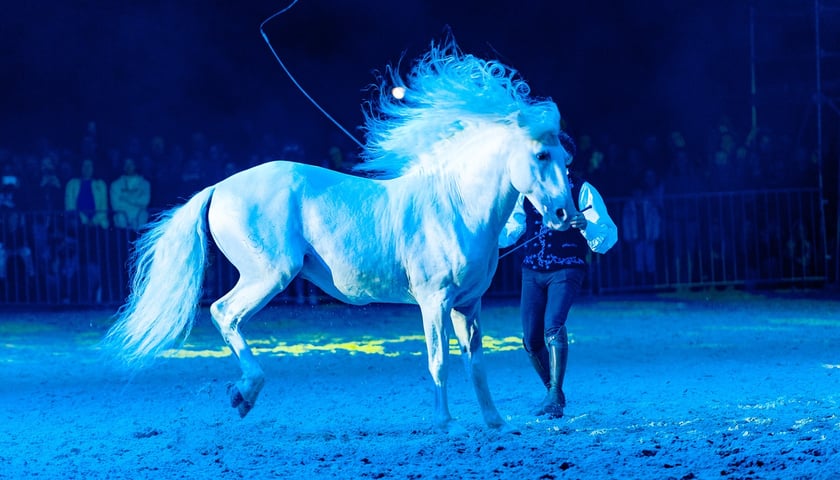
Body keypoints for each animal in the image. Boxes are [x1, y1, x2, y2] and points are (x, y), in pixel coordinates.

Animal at [103, 37, 576, 432]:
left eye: (566, 159)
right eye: (541, 154)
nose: (565, 214)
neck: (455, 207)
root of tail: (219, 187)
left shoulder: (467, 305)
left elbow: (475, 363)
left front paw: (496, 423)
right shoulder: (434, 301)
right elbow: (438, 360)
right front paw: (445, 424)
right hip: (269, 273)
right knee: (224, 313)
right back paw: (244, 392)